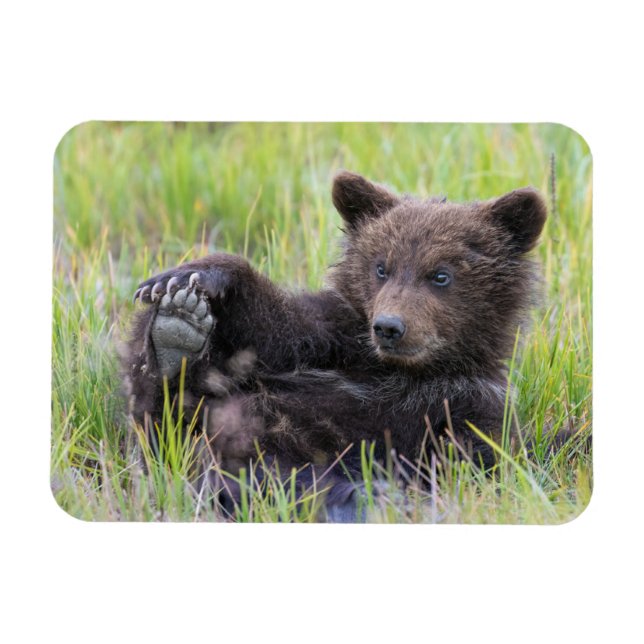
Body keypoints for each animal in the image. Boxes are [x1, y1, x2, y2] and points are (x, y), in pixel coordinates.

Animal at [122, 171, 547, 519]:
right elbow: (279, 330)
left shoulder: (470, 401)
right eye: (381, 267)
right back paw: (174, 336)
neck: (409, 371)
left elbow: (469, 464)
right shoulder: (337, 341)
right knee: (164, 423)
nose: (389, 327)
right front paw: (190, 277)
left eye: (441, 275)